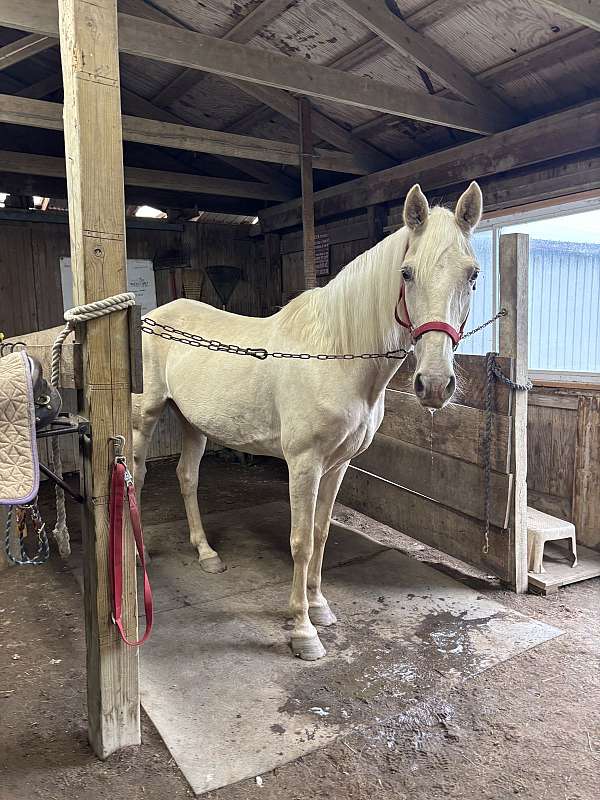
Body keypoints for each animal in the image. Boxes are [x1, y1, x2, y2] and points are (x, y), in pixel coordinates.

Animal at [132, 182, 483, 660]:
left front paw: (319, 607)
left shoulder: (337, 465)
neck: (334, 354)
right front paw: (303, 631)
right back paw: (138, 558)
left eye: (473, 274)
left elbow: (319, 533)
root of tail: (152, 317)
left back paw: (206, 554)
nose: (433, 384)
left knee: (187, 476)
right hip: (147, 415)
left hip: (193, 423)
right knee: (136, 477)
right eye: (407, 273)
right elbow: (299, 541)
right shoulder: (303, 464)